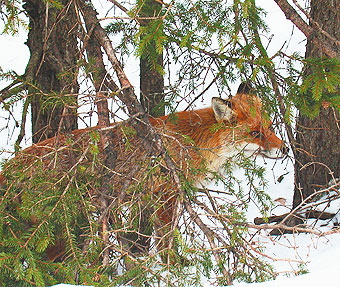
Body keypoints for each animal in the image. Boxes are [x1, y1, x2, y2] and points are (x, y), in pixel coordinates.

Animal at [0, 88, 286, 264]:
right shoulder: (166, 197)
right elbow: (166, 242)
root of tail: (11, 167)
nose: (284, 149)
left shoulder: (150, 199)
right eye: (255, 134)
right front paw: (174, 267)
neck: (195, 141)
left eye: (271, 127)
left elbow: (149, 238)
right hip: (55, 234)